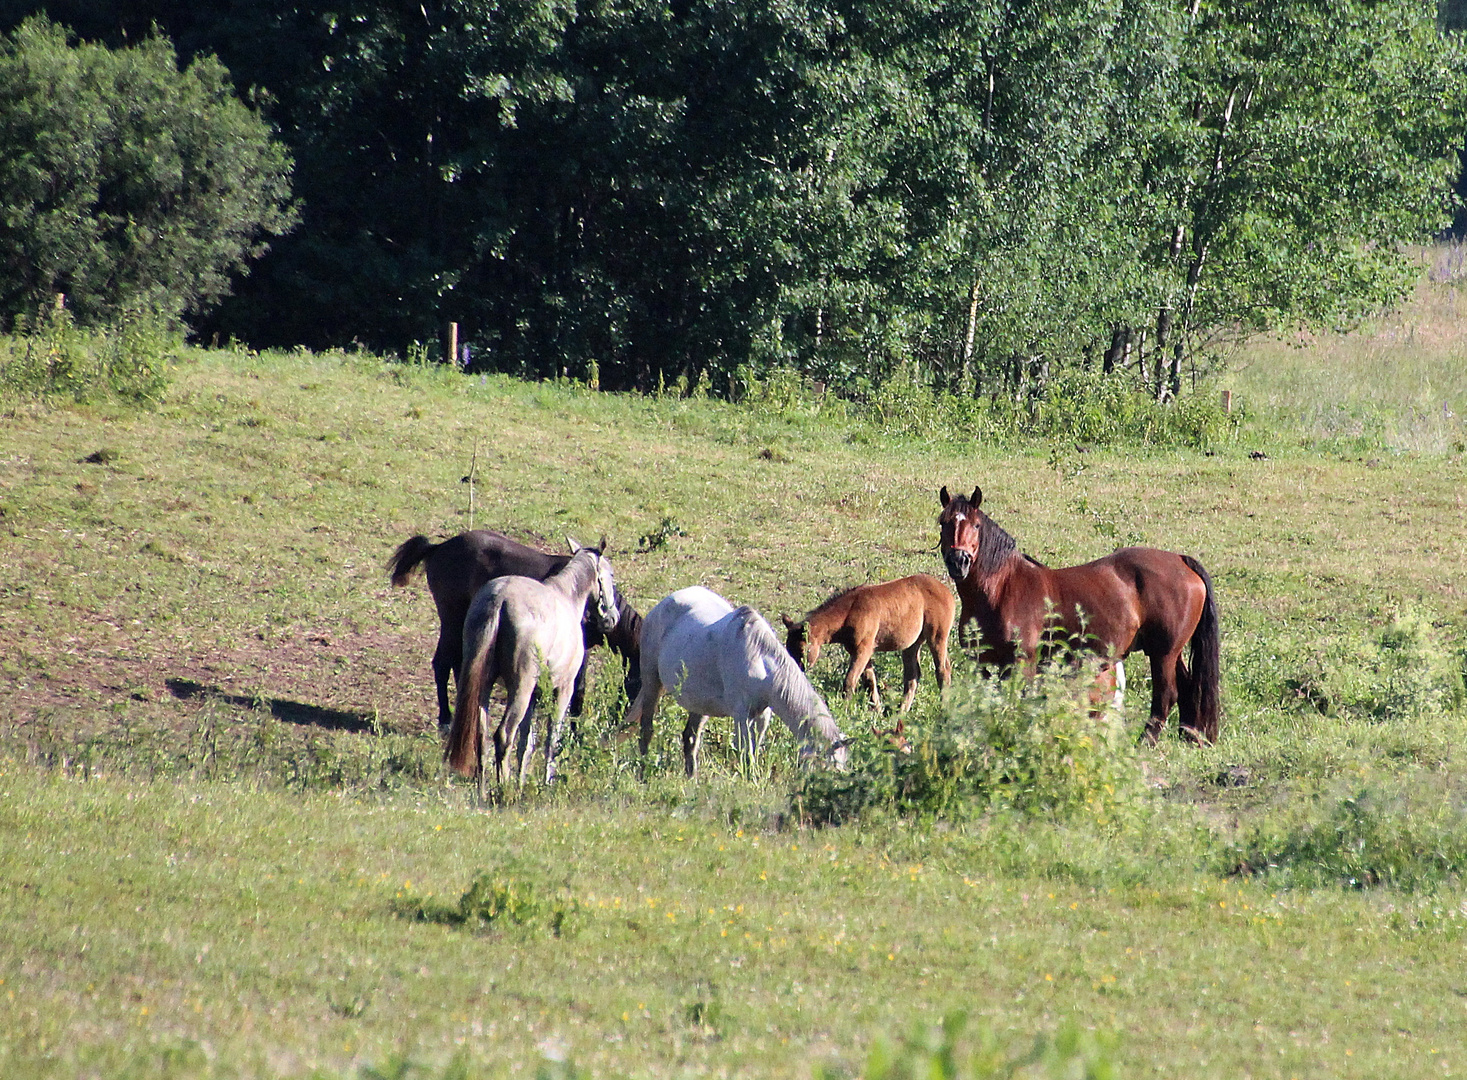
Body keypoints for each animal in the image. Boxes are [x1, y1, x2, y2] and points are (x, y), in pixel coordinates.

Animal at [390, 528, 642, 730]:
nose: (625, 718)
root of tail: (438, 547)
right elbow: (578, 692)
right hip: (451, 620)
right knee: (442, 663)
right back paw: (446, 720)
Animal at [440, 537, 613, 798]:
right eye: (610, 575)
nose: (612, 618)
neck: (566, 598)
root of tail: (499, 599)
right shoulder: (563, 690)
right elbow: (551, 738)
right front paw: (546, 782)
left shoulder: (533, 695)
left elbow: (526, 743)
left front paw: (521, 780)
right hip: (520, 691)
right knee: (503, 735)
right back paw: (503, 789)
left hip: (485, 687)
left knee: (482, 735)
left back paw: (483, 789)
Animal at [619, 586, 850, 780]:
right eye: (827, 767)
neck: (760, 661)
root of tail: (663, 603)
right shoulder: (741, 715)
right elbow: (746, 754)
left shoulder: (762, 715)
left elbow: (754, 749)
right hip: (652, 681)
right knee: (646, 730)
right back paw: (643, 773)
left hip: (700, 703)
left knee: (690, 738)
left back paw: (692, 779)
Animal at [780, 569, 962, 713]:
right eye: (788, 648)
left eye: (802, 650)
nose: (796, 671)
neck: (849, 612)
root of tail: (946, 590)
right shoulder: (861, 651)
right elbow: (869, 682)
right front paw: (877, 711)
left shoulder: (863, 650)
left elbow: (850, 681)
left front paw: (844, 711)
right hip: (912, 644)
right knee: (912, 676)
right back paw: (901, 713)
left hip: (937, 637)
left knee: (943, 670)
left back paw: (944, 710)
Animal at [933, 487, 1220, 742]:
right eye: (943, 523)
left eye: (976, 525)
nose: (959, 561)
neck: (1001, 589)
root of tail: (1181, 560)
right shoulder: (983, 663)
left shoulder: (1023, 661)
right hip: (1171, 653)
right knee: (1187, 690)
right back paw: (1189, 737)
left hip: (1163, 654)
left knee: (1166, 696)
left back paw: (1145, 744)